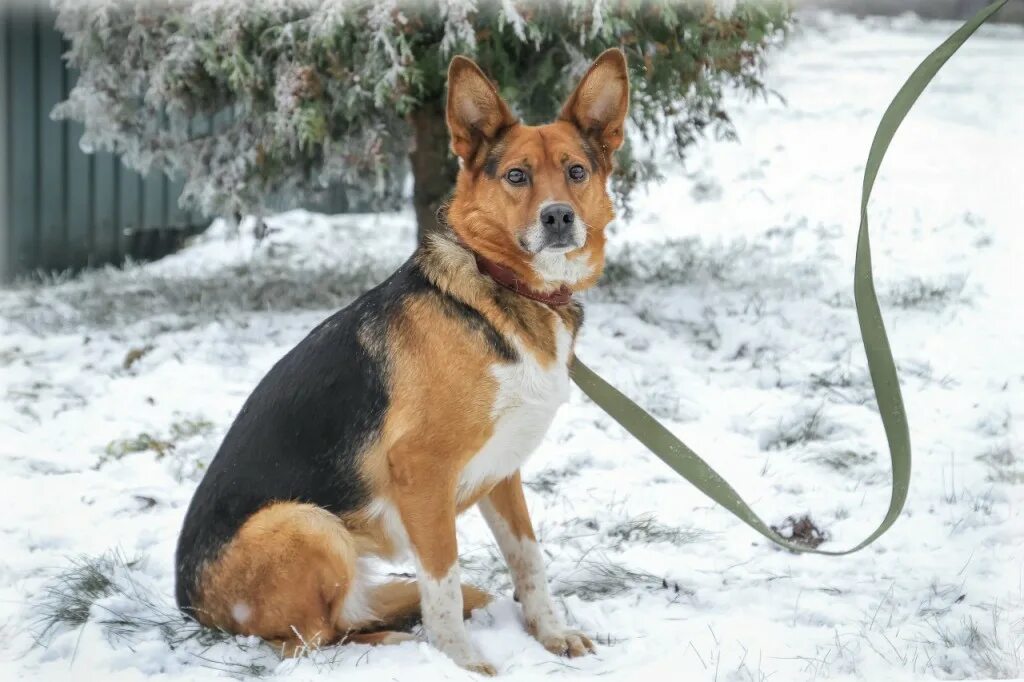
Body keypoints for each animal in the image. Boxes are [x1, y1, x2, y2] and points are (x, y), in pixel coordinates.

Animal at [176, 49, 626, 675]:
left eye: (576, 172)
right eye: (517, 176)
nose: (559, 217)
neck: (500, 286)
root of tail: (188, 605)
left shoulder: (502, 472)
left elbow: (528, 560)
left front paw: (551, 633)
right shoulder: (423, 473)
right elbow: (442, 580)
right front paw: (459, 661)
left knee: (349, 615)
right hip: (310, 525)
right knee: (311, 640)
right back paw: (398, 645)